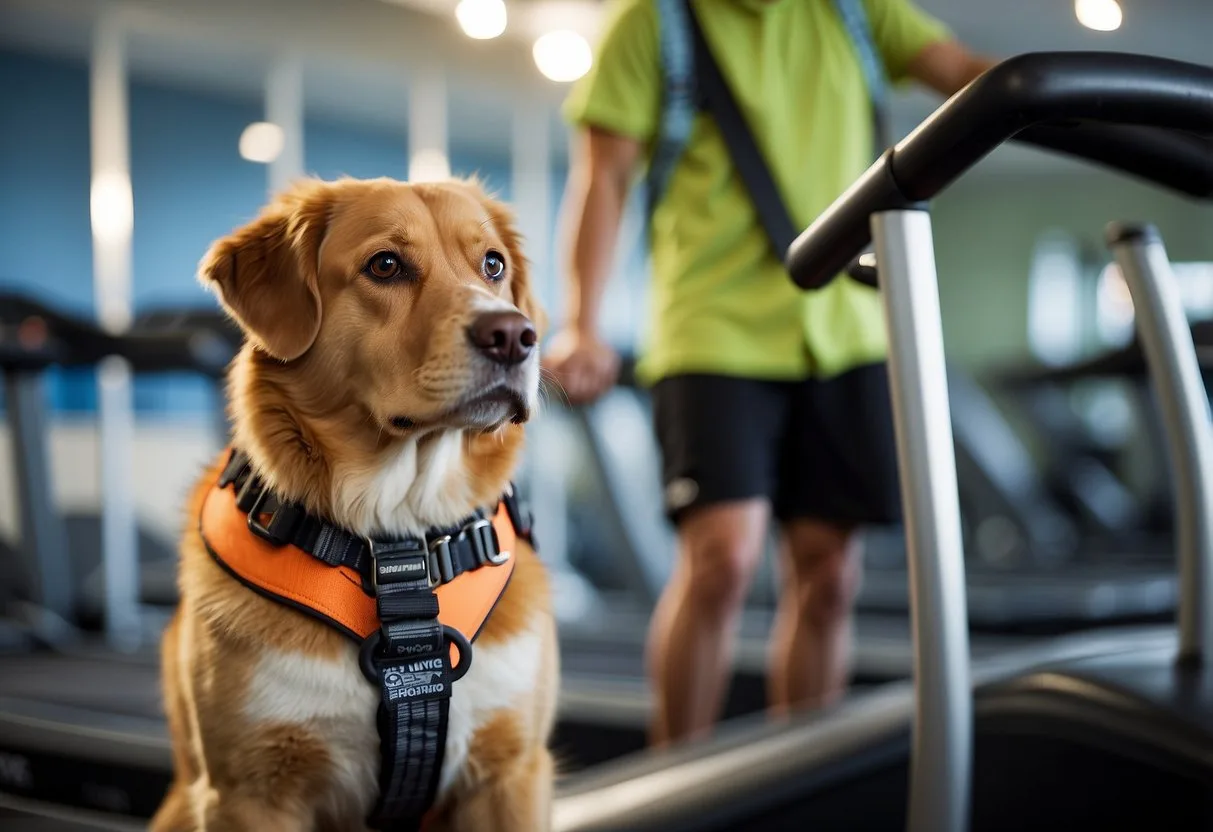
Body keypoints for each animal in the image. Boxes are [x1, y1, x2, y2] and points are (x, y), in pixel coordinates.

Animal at [152, 177, 562, 832]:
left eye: (493, 265)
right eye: (385, 265)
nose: (514, 335)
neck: (400, 541)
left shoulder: (513, 773)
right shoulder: (248, 792)